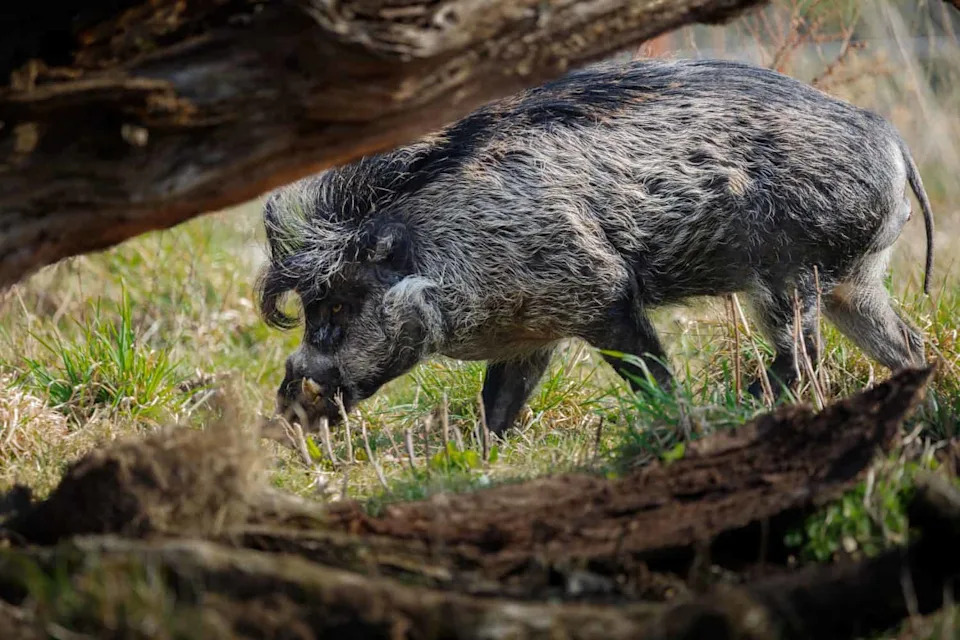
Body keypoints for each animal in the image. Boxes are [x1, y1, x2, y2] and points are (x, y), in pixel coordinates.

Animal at [256, 57, 934, 434]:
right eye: (311, 311)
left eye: (337, 307)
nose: (287, 409)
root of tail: (891, 139)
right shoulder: (532, 331)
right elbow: (497, 406)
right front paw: (481, 454)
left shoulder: (602, 294)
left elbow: (650, 372)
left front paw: (680, 418)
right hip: (854, 281)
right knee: (906, 345)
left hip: (792, 277)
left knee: (804, 357)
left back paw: (743, 403)